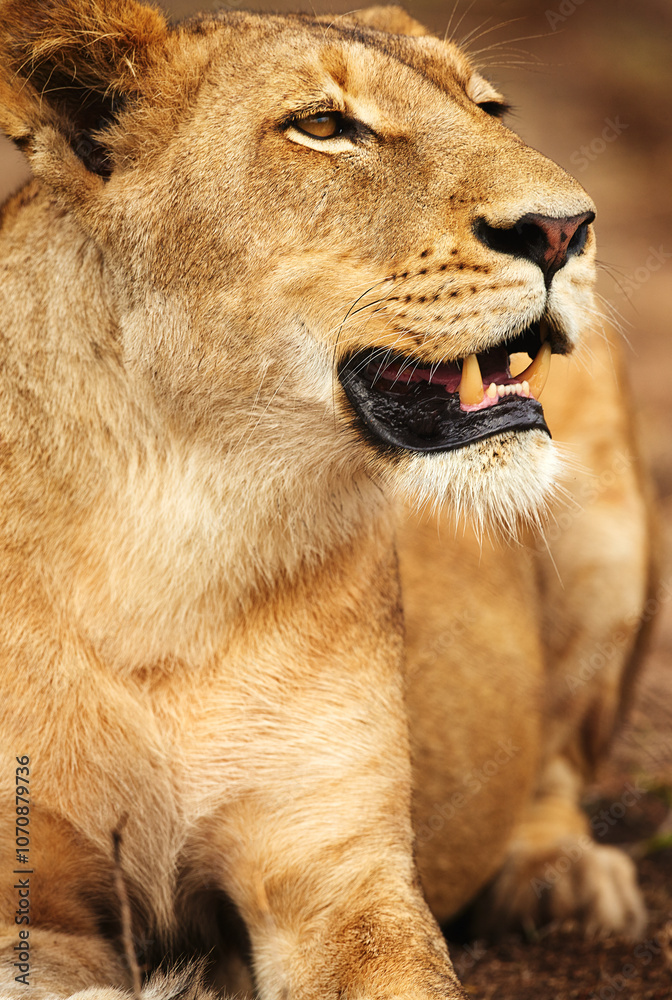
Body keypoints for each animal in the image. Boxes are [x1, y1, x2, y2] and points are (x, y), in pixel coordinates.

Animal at [0, 2, 655, 998]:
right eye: (322, 126)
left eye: (489, 108)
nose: (566, 227)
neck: (179, 512)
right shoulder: (31, 906)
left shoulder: (340, 871)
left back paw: (564, 880)